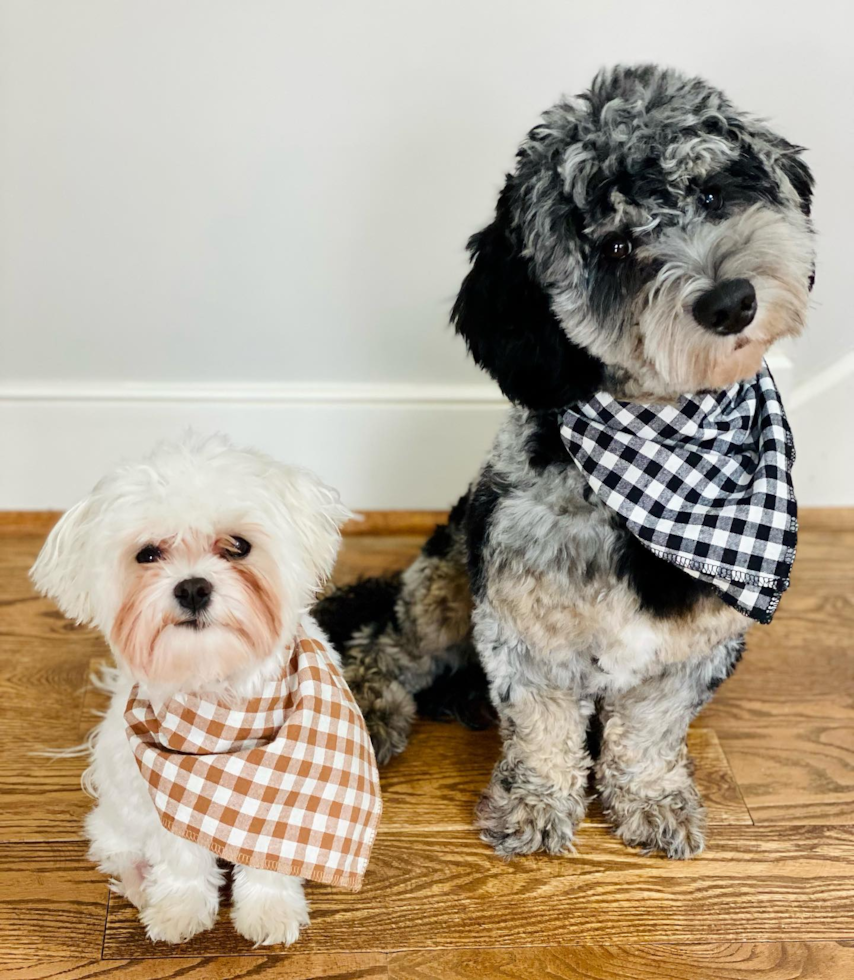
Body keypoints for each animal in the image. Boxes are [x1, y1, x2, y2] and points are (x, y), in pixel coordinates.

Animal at [30, 434, 372, 940]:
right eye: (148, 554)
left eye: (238, 546)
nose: (192, 587)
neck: (217, 695)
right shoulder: (167, 799)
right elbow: (182, 858)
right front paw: (179, 908)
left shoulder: (282, 801)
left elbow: (271, 857)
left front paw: (269, 909)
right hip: (120, 808)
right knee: (113, 845)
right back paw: (138, 882)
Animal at [316, 65, 816, 856]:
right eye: (612, 250)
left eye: (710, 193)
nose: (731, 301)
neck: (662, 456)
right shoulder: (523, 626)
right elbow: (542, 727)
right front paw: (536, 804)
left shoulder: (696, 646)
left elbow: (648, 732)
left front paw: (651, 798)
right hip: (448, 576)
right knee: (385, 642)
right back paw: (372, 709)